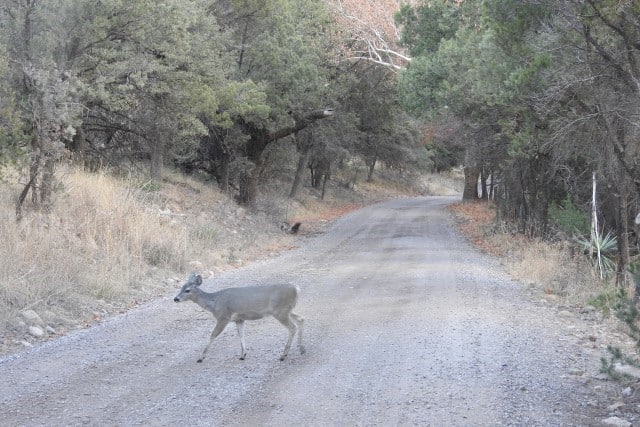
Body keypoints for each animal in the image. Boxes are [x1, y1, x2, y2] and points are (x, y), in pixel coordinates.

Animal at [174, 274, 306, 364]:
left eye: (187, 290)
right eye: (180, 288)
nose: (175, 299)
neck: (214, 302)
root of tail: (296, 289)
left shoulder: (223, 317)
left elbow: (213, 335)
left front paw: (201, 357)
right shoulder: (239, 319)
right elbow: (241, 335)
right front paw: (243, 355)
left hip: (280, 311)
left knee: (292, 327)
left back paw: (283, 355)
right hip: (287, 310)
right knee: (301, 319)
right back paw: (302, 349)